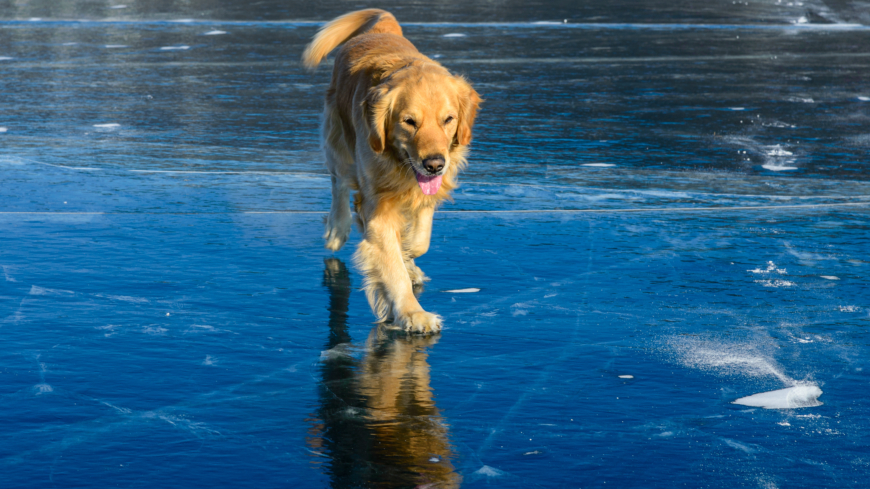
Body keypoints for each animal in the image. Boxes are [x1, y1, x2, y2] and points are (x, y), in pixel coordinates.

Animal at [304, 9, 484, 334]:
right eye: (409, 121)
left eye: (448, 119)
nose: (434, 164)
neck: (400, 164)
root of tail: (381, 27)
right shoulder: (378, 203)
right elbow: (391, 261)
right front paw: (412, 313)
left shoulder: (428, 190)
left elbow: (419, 240)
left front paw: (409, 258)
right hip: (337, 140)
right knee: (338, 183)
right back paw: (338, 227)